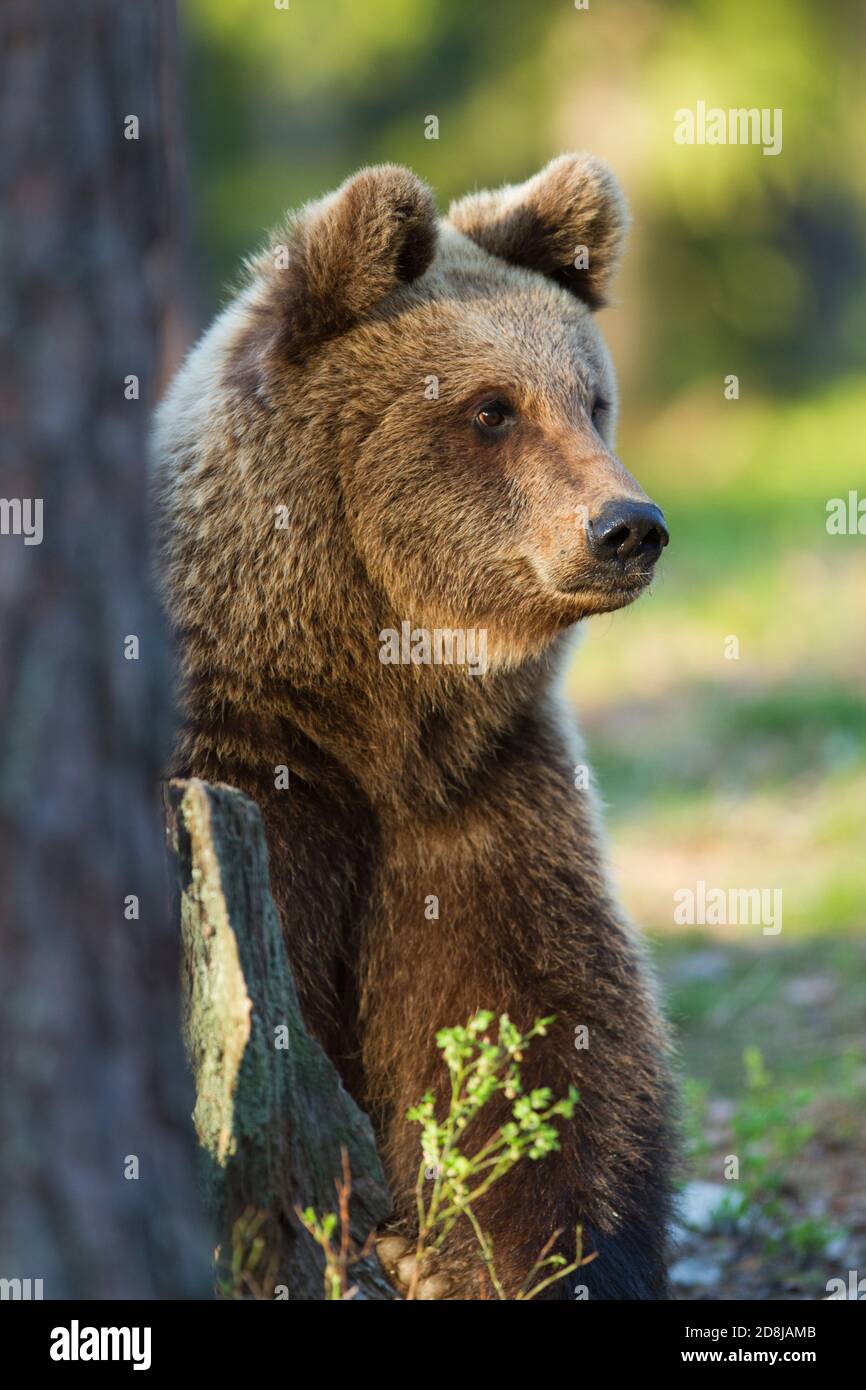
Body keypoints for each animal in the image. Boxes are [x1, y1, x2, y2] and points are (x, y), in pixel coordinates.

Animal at [154, 154, 678, 1301]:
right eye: (491, 409)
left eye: (591, 399)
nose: (628, 527)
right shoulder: (247, 768)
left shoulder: (478, 796)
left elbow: (537, 1028)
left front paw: (517, 1253)